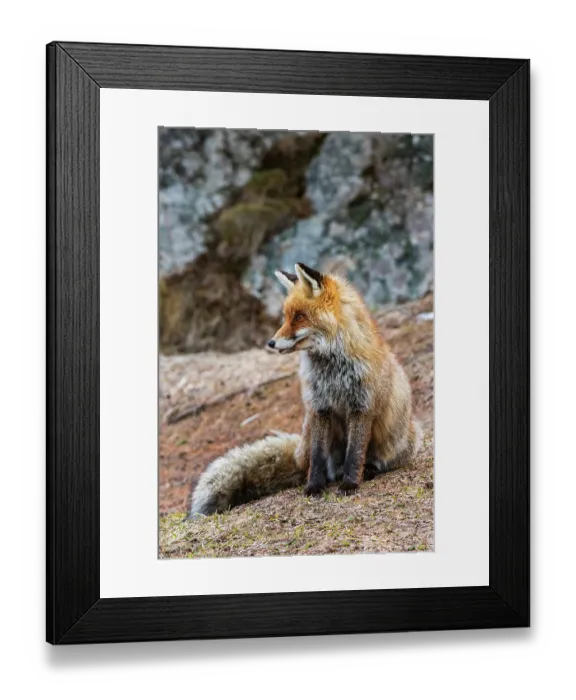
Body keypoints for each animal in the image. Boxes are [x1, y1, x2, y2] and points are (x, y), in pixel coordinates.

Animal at [190, 262, 421, 516]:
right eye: (285, 317)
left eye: (299, 317)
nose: (271, 343)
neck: (332, 370)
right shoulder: (319, 407)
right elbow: (318, 457)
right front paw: (314, 487)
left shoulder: (361, 407)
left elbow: (355, 453)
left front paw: (350, 484)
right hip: (309, 427)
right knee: (315, 463)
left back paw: (367, 470)